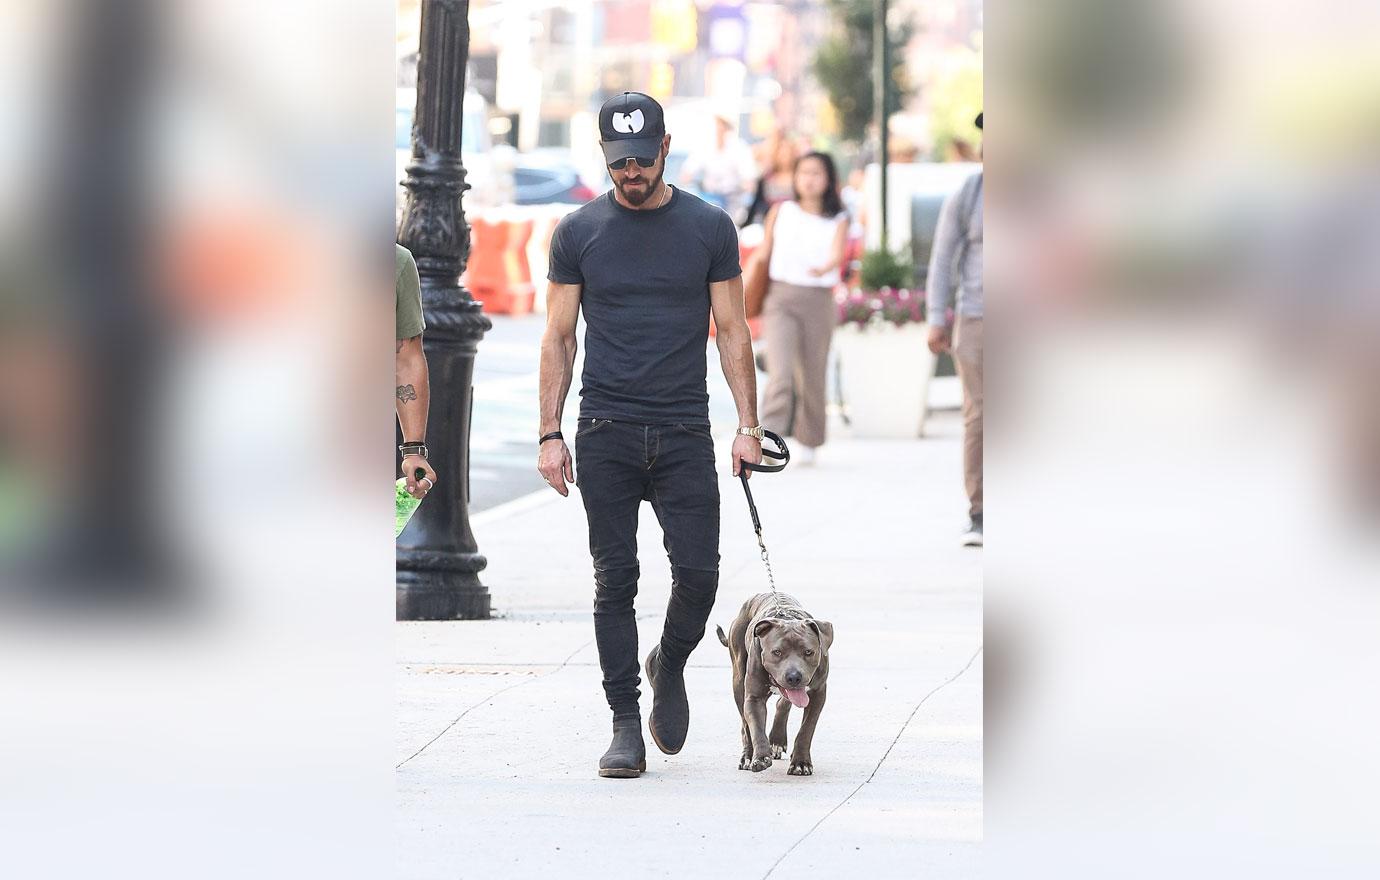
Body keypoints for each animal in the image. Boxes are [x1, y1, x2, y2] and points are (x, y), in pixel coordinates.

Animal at [717, 595, 833, 777]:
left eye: (808, 652)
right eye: (777, 652)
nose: (794, 677)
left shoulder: (817, 695)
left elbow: (806, 730)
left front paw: (801, 763)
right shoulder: (754, 698)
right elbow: (756, 727)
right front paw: (761, 757)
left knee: (782, 703)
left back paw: (777, 740)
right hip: (738, 681)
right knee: (745, 724)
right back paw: (748, 756)